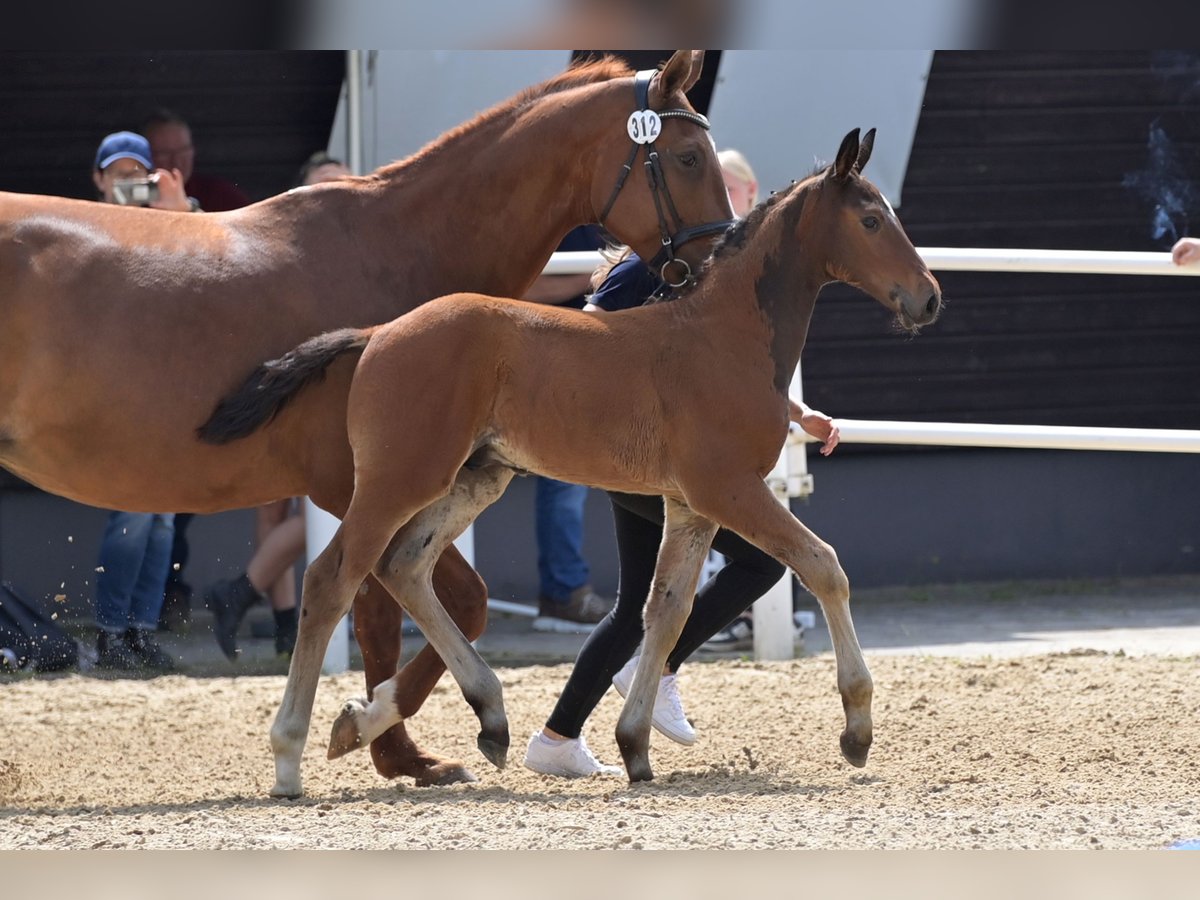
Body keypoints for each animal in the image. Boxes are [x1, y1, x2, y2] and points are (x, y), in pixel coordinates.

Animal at [0, 52, 729, 792]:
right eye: (689, 156)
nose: (716, 265)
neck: (394, 248)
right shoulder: (364, 487)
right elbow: (406, 604)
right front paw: (389, 740)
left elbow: (432, 602)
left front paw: (389, 738)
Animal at [201, 127, 940, 787]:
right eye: (872, 219)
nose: (929, 296)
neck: (723, 336)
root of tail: (380, 332)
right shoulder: (729, 488)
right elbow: (825, 567)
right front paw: (857, 730)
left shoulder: (689, 505)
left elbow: (664, 612)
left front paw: (635, 744)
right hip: (396, 480)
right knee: (333, 580)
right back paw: (290, 754)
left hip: (476, 477)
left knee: (403, 565)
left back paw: (470, 718)